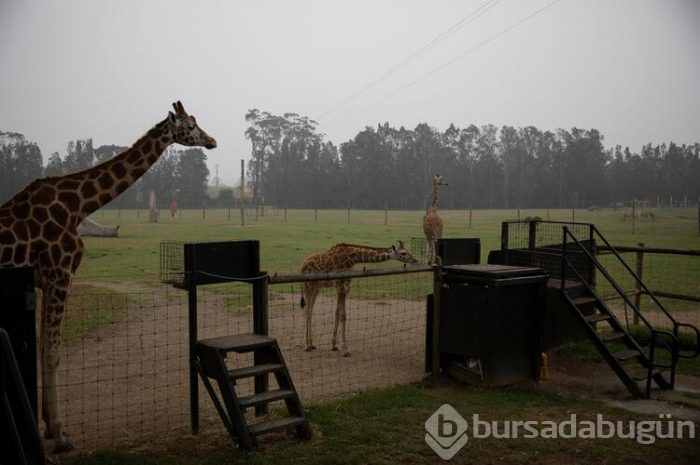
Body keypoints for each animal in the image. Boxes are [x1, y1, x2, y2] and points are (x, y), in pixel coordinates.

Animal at [0, 100, 217, 450]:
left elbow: (44, 348)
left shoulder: (45, 281)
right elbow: (53, 353)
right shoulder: (60, 273)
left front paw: (49, 427)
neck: (79, 206)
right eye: (191, 126)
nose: (212, 141)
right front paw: (60, 433)